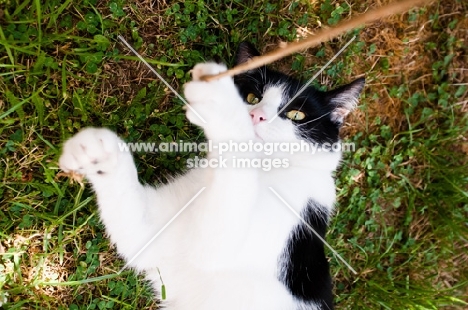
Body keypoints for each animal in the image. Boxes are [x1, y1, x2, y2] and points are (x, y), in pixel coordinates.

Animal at [59, 41, 366, 310]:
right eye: (252, 98)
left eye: (296, 114)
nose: (256, 115)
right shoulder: (158, 242)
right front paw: (97, 150)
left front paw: (220, 102)